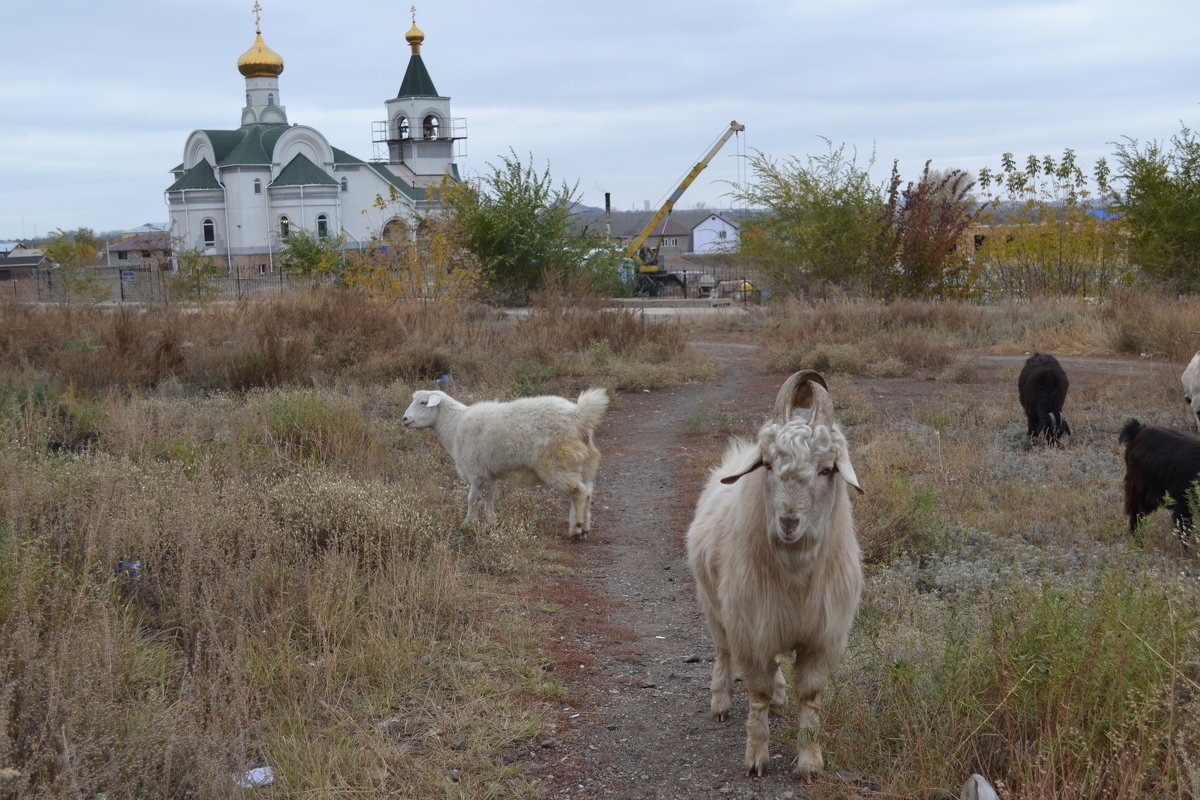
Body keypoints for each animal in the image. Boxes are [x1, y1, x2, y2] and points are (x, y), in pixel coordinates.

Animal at [403, 386, 609, 542]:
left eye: (423, 402)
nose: (404, 419)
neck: (455, 426)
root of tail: (579, 416)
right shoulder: (483, 475)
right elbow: (480, 500)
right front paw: (478, 523)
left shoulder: (478, 473)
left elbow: (479, 500)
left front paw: (480, 524)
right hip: (584, 464)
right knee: (588, 492)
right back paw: (585, 528)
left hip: (557, 464)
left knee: (578, 492)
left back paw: (576, 529)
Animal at [686, 371, 864, 777]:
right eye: (767, 464)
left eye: (827, 468)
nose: (788, 522)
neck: (795, 573)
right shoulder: (751, 632)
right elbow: (758, 692)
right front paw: (756, 758)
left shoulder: (820, 636)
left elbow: (809, 695)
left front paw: (811, 762)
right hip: (714, 605)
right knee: (722, 650)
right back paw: (720, 701)